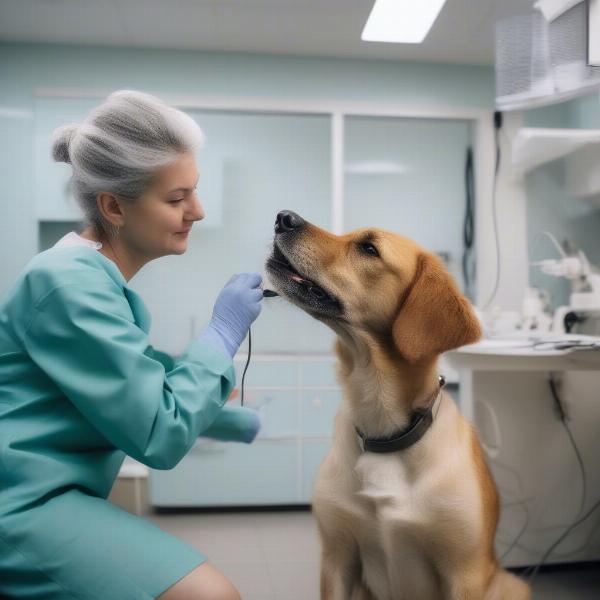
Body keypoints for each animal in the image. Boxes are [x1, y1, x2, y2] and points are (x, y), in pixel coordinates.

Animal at [264, 211, 528, 600]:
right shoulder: (337, 557)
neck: (383, 430)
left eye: (369, 248)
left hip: (511, 583)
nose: (283, 218)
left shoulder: (463, 572)